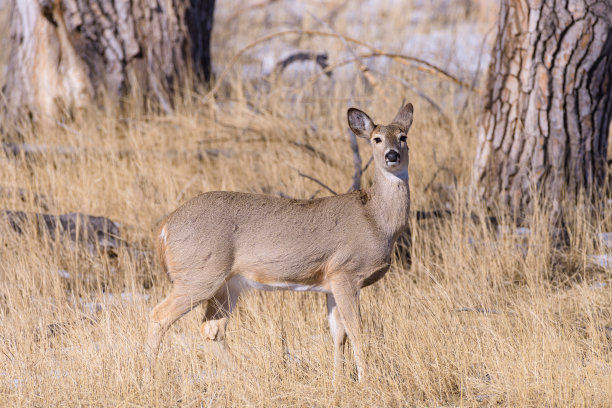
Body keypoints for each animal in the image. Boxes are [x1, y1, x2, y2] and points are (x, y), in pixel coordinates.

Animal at [146, 103, 414, 382]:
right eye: (377, 139)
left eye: (403, 136)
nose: (392, 155)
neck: (377, 220)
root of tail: (165, 228)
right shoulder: (346, 273)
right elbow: (356, 330)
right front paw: (365, 380)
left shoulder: (331, 283)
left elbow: (338, 333)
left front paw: (337, 381)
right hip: (199, 275)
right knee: (158, 316)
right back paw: (148, 379)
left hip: (227, 284)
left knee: (212, 328)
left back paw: (246, 377)